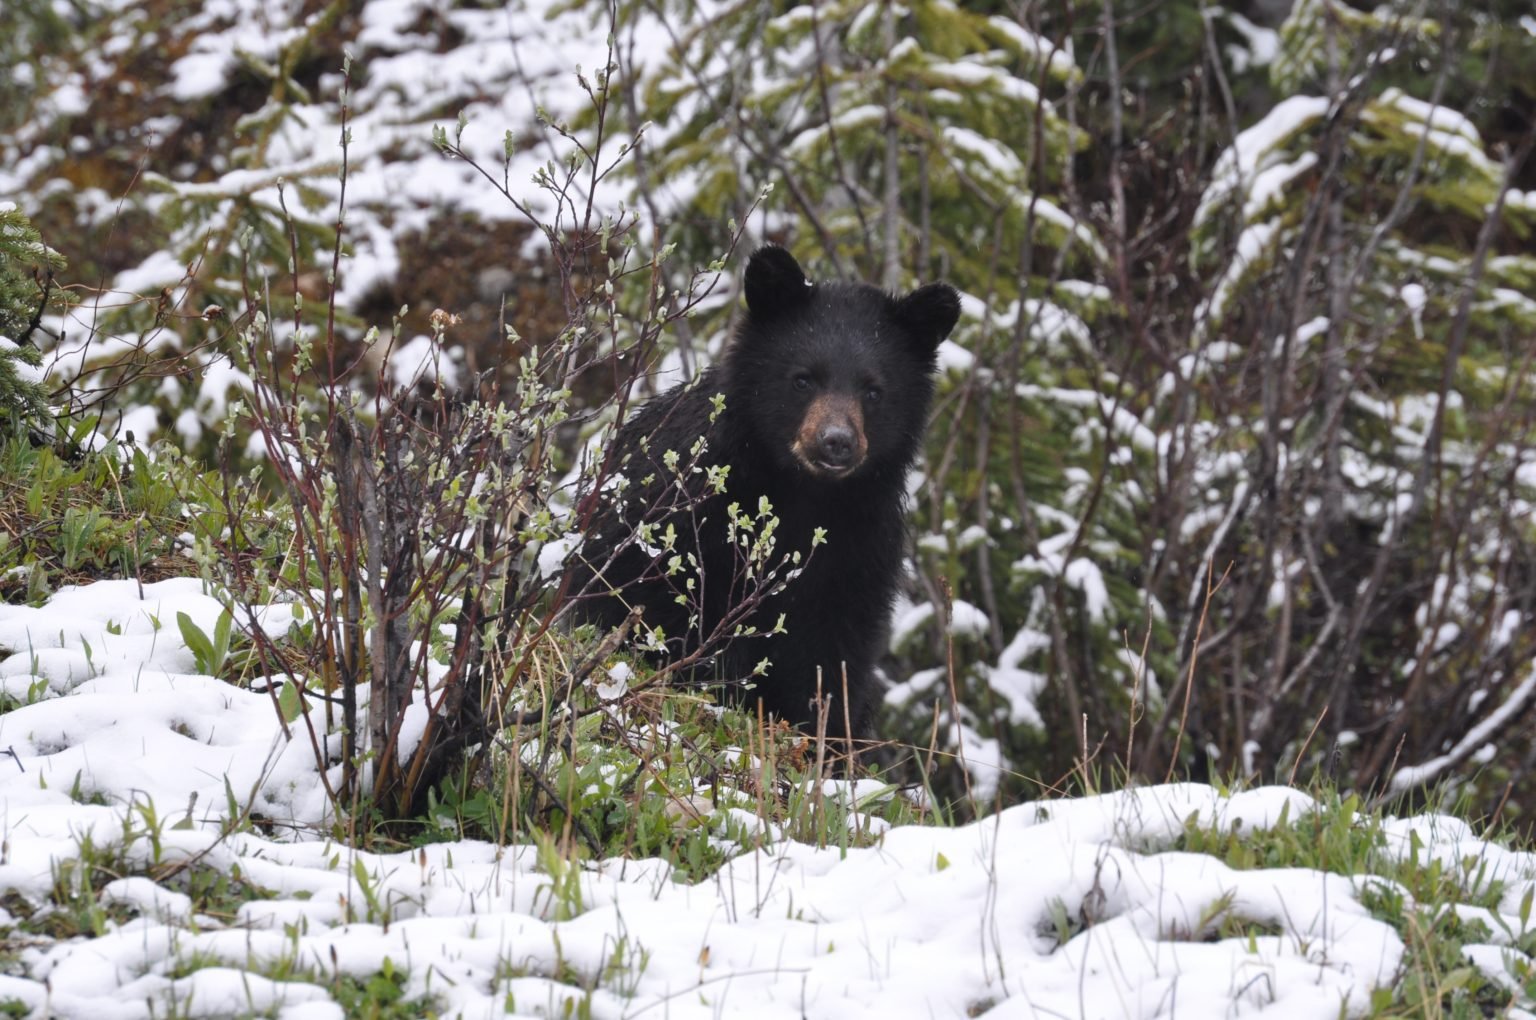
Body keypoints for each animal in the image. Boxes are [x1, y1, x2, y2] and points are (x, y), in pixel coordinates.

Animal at [565, 245, 960, 747]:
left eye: (873, 390)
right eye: (803, 379)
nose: (836, 441)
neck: (801, 492)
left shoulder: (859, 546)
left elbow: (832, 652)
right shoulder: (681, 507)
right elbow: (645, 592)